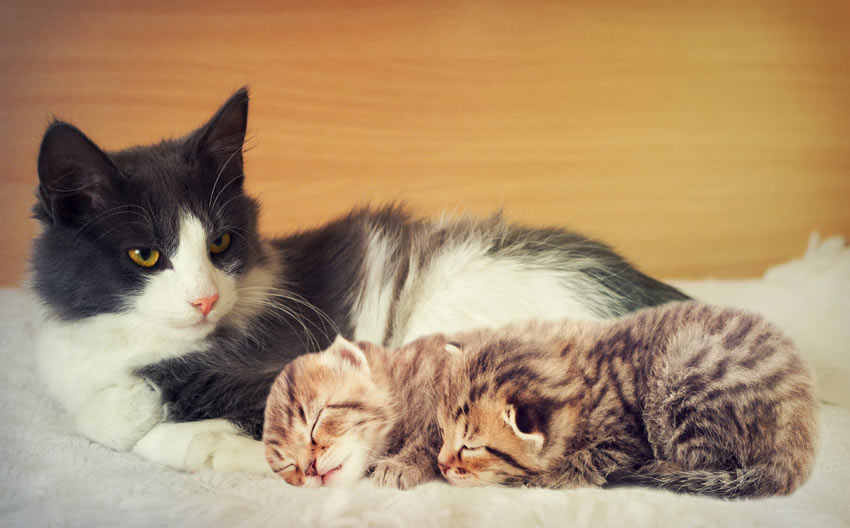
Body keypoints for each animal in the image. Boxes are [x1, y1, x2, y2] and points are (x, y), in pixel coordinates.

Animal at [434, 300, 820, 498]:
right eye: (442, 432)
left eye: (471, 447)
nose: (440, 465)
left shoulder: (626, 440)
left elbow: (586, 461)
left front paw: (538, 477)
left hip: (683, 380)